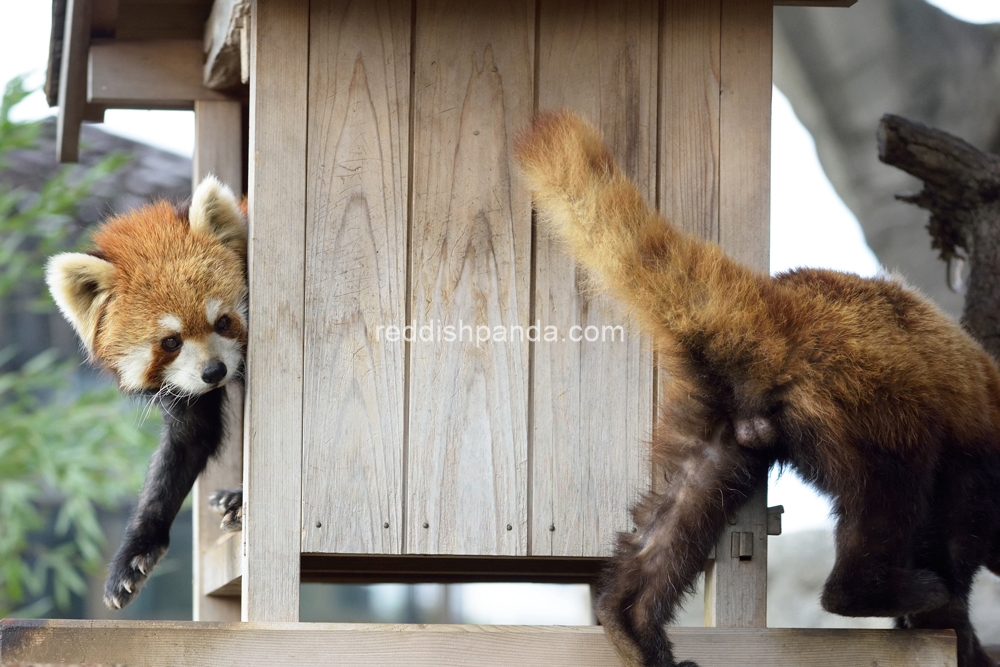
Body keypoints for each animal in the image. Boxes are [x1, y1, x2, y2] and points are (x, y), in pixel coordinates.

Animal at [45, 176, 250, 612]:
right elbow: (186, 444)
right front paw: (135, 553)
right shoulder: (185, 387)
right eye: (170, 342)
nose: (214, 372)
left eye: (223, 322)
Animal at [516, 112, 1000, 667]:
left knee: (684, 503)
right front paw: (954, 623)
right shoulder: (974, 465)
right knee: (888, 492)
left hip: (717, 419)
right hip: (864, 402)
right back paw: (868, 591)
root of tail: (780, 308)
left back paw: (631, 624)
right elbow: (956, 534)